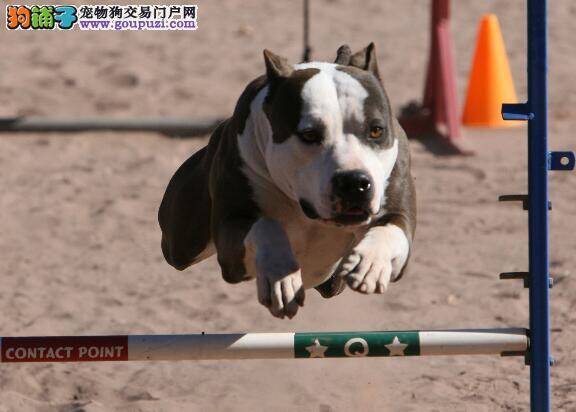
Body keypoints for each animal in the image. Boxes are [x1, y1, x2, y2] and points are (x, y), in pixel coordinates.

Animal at [160, 42, 416, 318]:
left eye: (376, 130)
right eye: (310, 135)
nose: (354, 183)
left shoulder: (398, 215)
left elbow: (389, 228)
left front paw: (371, 262)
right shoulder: (231, 236)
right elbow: (266, 226)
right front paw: (280, 275)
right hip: (182, 242)